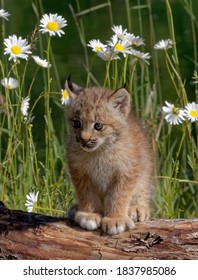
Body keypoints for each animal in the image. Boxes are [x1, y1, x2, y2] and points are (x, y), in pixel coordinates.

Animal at [65, 78, 154, 234]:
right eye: (76, 123)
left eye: (98, 126)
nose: (84, 139)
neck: (100, 151)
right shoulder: (79, 171)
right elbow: (86, 193)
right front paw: (89, 214)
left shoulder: (126, 171)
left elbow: (119, 195)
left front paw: (116, 219)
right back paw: (75, 208)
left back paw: (137, 209)